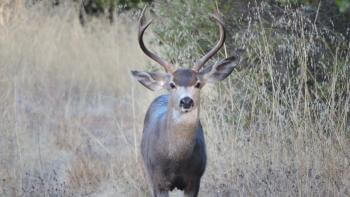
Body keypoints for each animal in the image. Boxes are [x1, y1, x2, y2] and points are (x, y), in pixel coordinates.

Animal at [131, 8, 241, 197]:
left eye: (198, 83)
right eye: (172, 84)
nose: (186, 101)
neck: (176, 159)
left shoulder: (194, 180)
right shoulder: (158, 181)